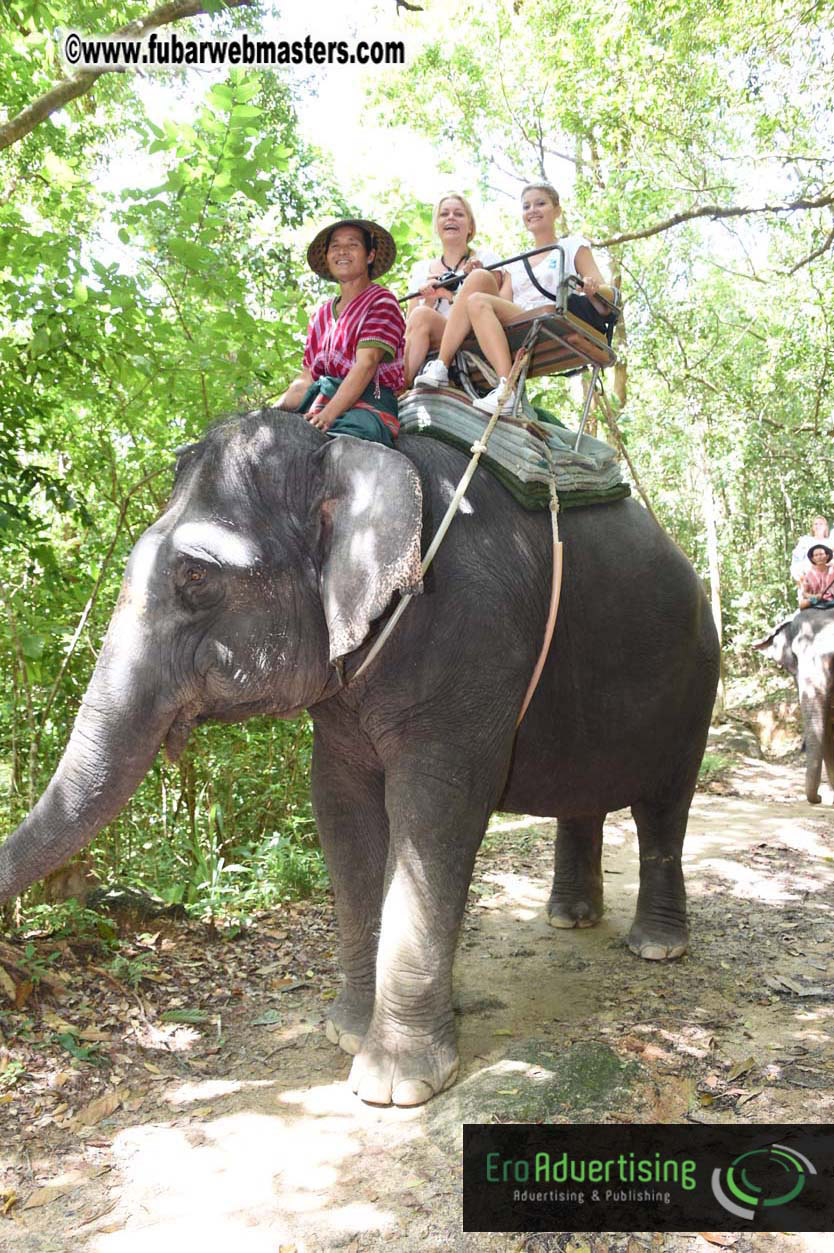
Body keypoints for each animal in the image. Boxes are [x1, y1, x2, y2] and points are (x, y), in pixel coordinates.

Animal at [0, 412, 719, 1106]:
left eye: (197, 576)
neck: (353, 449)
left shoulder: (473, 642)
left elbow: (434, 815)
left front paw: (395, 1085)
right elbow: (341, 814)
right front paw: (344, 1031)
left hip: (696, 682)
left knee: (665, 806)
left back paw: (657, 946)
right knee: (585, 799)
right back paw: (569, 918)